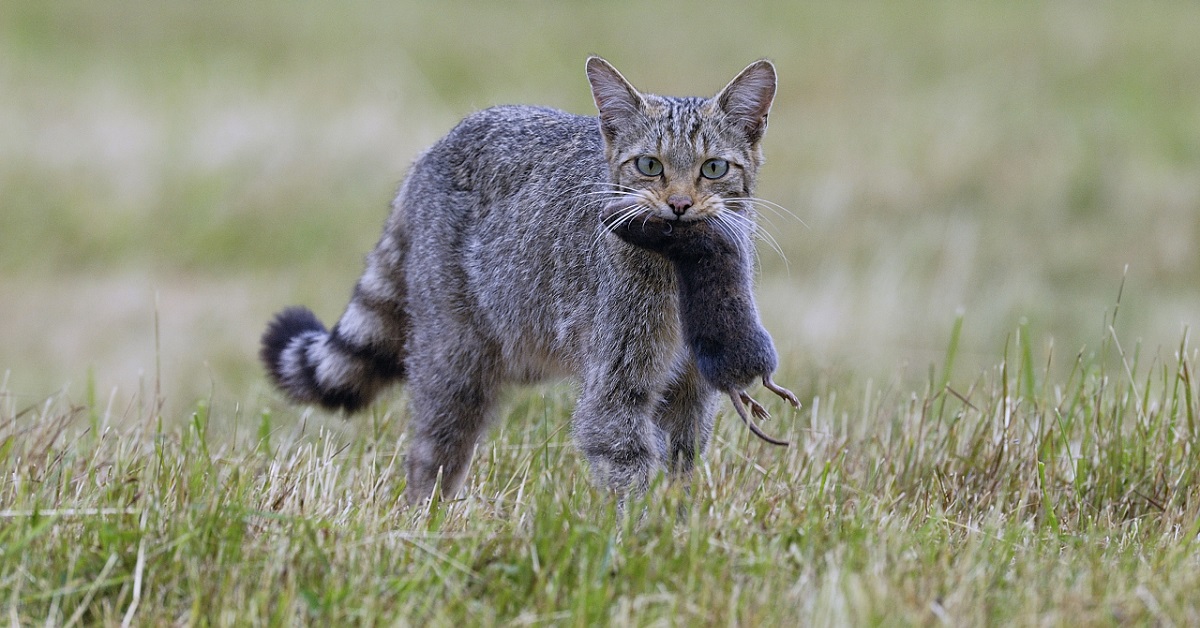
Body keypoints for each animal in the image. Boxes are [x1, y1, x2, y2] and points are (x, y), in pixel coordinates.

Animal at [597, 208, 796, 444]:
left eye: (628, 222)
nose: (604, 214)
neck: (678, 238)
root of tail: (727, 379)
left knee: (744, 391)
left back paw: (757, 407)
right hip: (765, 351)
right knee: (766, 380)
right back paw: (786, 399)